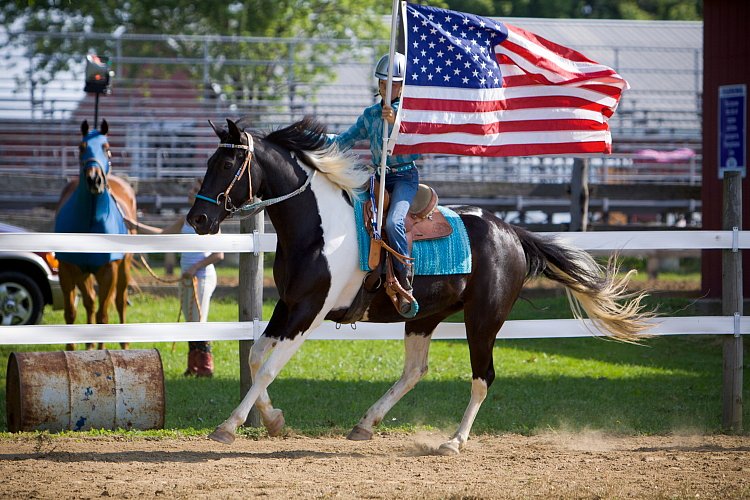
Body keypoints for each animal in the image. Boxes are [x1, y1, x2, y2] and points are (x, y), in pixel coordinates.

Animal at [188, 116, 652, 454]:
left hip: (483, 320)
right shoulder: (288, 305)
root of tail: (511, 232)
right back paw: (366, 424)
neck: (320, 228)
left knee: (482, 377)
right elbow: (256, 358)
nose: (198, 219)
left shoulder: (310, 311)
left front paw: (228, 426)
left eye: (226, 165)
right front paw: (274, 420)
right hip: (424, 316)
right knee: (415, 370)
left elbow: (269, 367)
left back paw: (454, 442)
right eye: (209, 163)